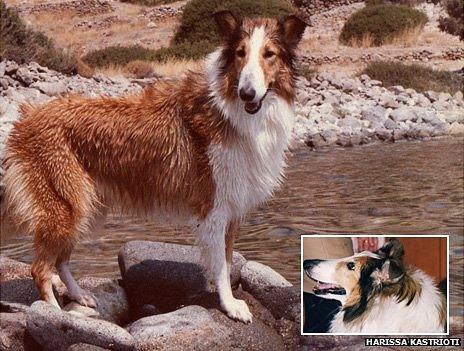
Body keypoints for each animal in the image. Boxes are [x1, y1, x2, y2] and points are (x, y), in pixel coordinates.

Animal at [2, 11, 308, 324]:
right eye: (240, 53)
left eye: (269, 54)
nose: (247, 93)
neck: (229, 106)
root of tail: (26, 118)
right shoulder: (214, 208)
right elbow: (222, 267)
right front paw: (231, 306)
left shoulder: (231, 209)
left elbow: (227, 258)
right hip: (66, 207)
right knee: (40, 268)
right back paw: (52, 314)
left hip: (87, 210)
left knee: (61, 260)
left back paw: (79, 296)